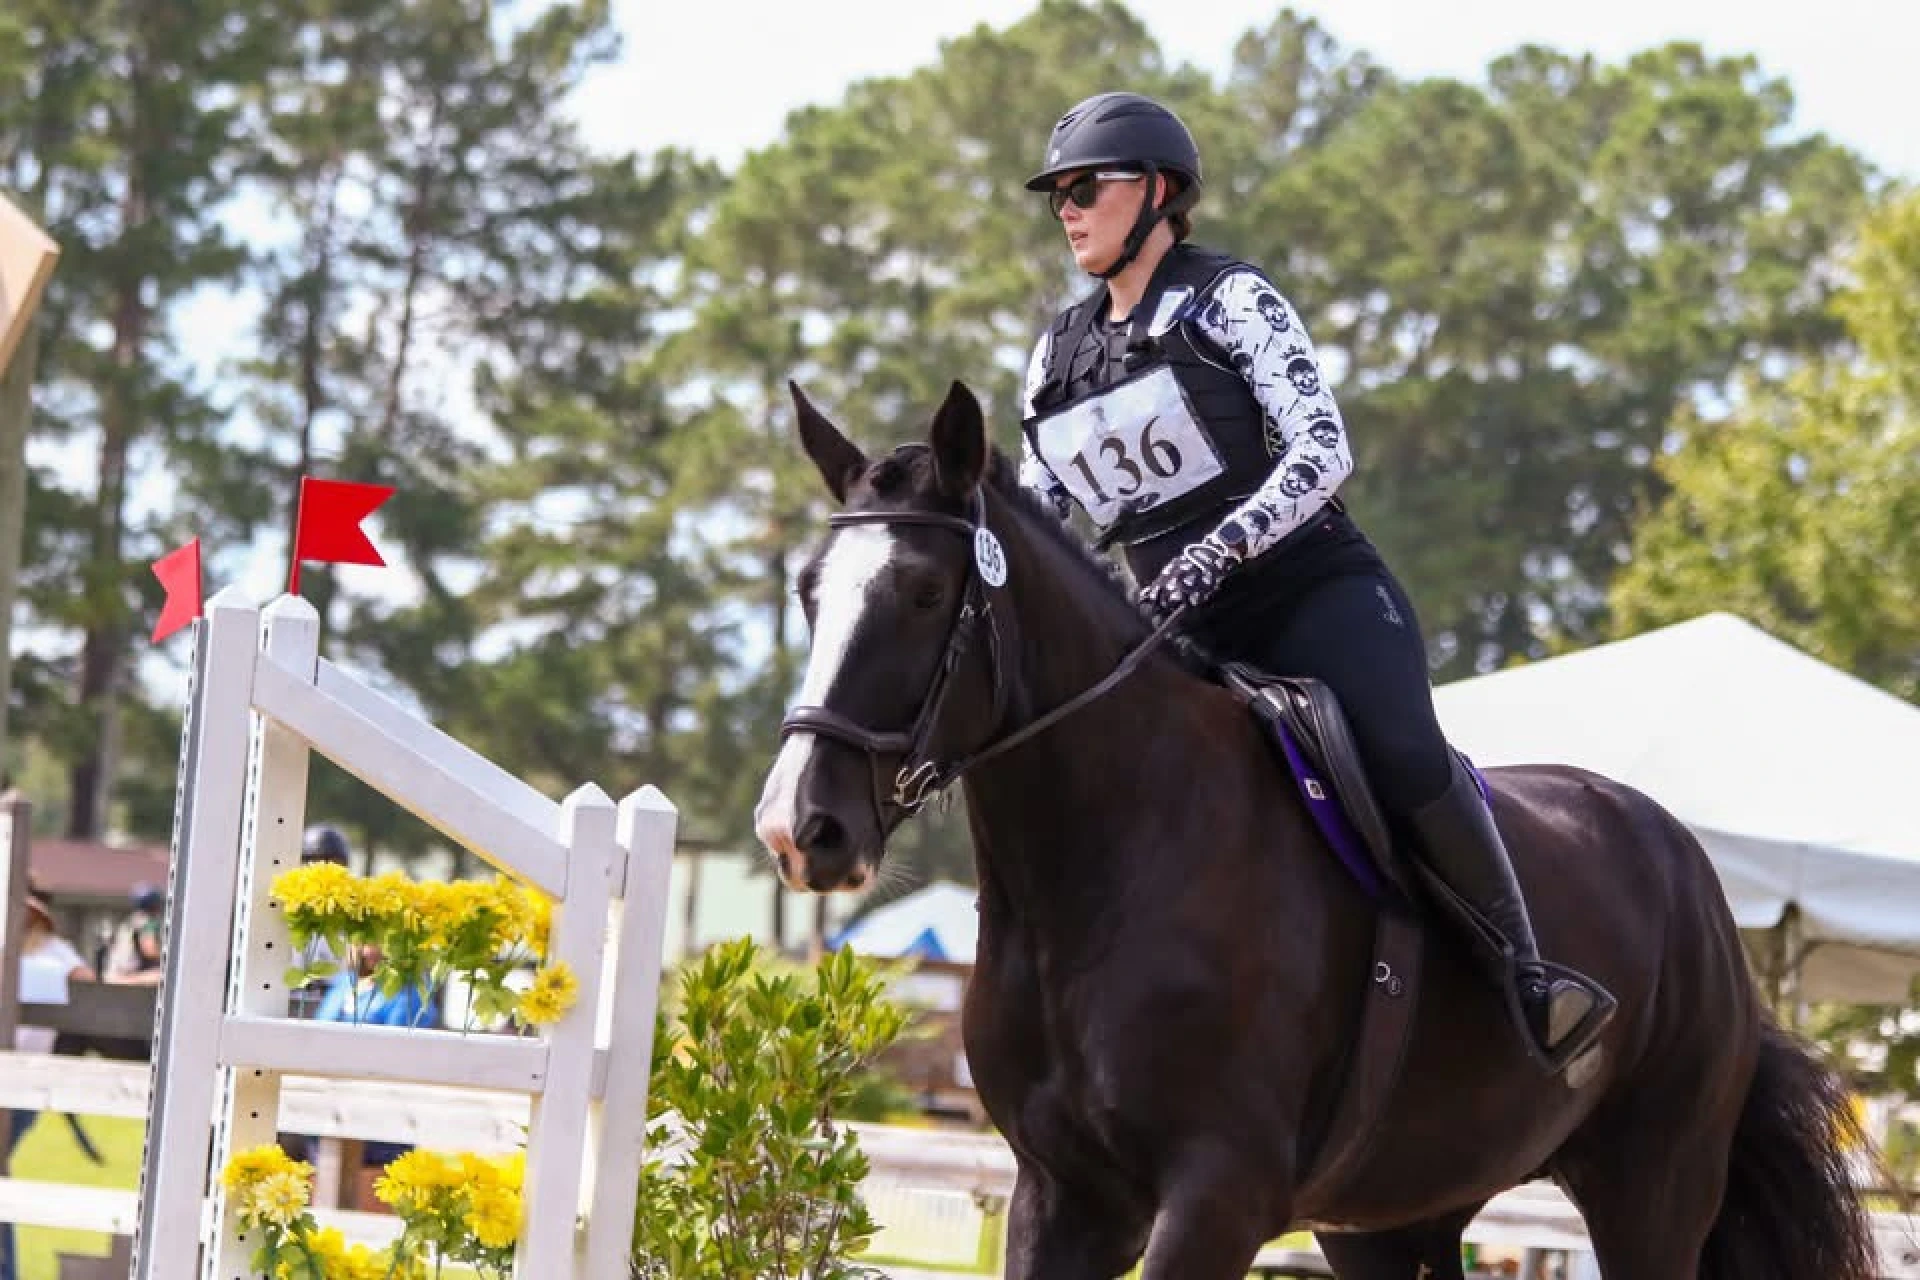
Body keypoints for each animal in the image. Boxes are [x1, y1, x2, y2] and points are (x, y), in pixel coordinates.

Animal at [752, 378, 1876, 1280]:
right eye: (808, 592)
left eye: (923, 591)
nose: (800, 827)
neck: (1106, 862)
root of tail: (1690, 872)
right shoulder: (1062, 1197)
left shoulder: (1216, 1195)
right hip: (1394, 1216)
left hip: (1654, 1192)